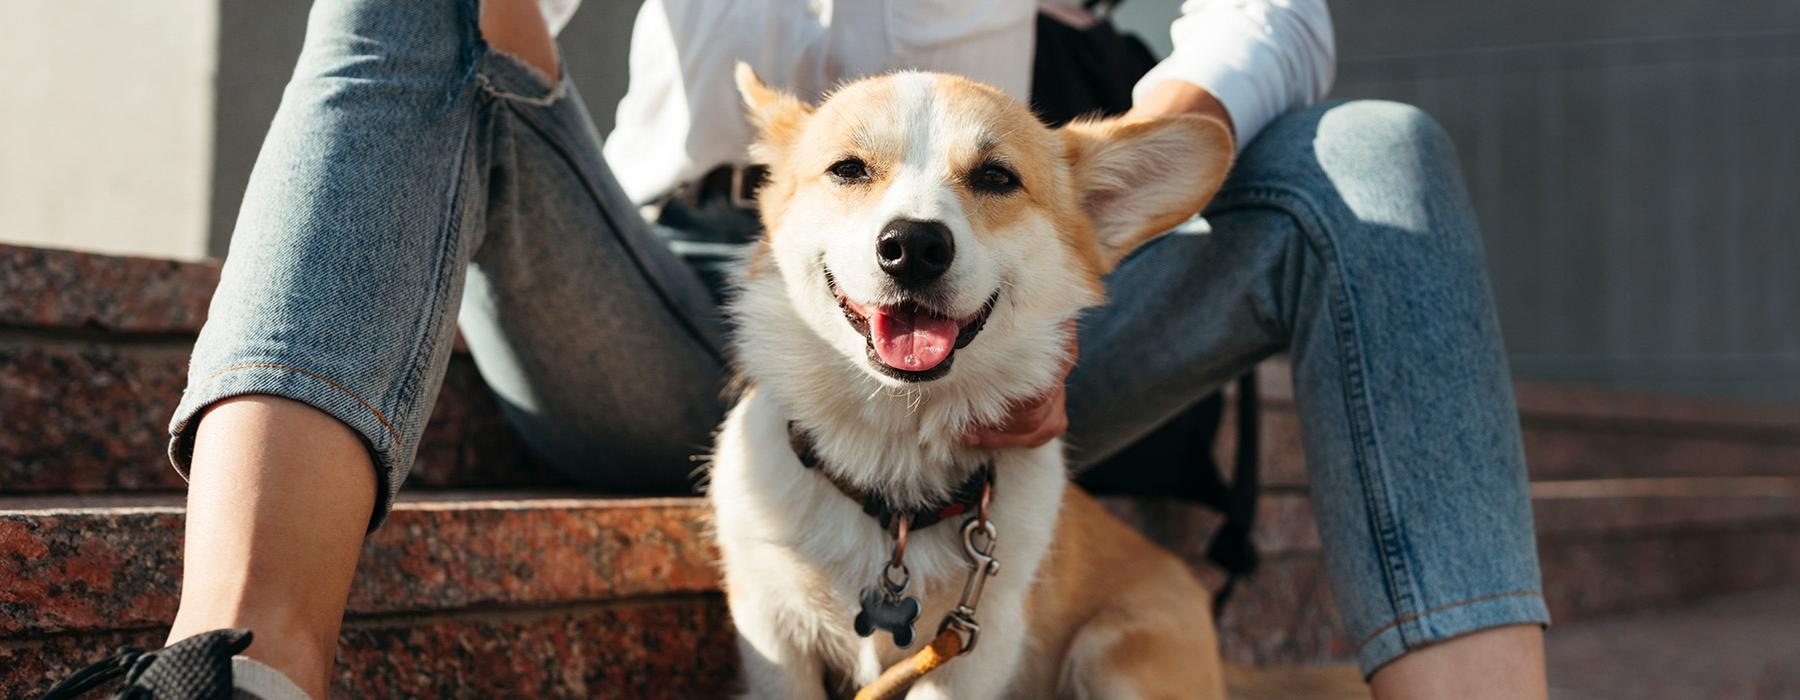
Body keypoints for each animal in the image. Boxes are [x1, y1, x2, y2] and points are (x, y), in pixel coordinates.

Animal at [709, 62, 1245, 694]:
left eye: (995, 176)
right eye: (848, 169)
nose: (912, 246)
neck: (893, 454)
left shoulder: (977, 643)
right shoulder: (772, 628)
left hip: (1116, 659)